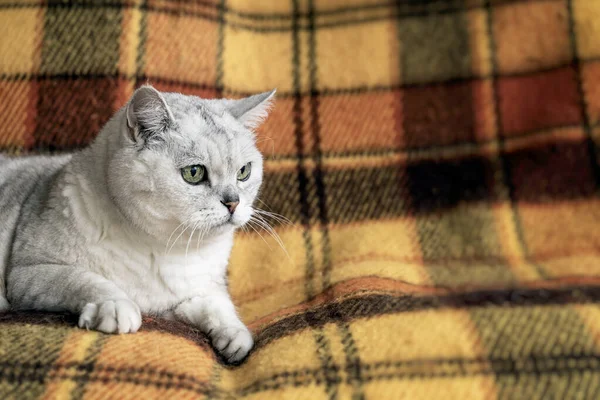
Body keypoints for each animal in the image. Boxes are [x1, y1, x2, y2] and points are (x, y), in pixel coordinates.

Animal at [0, 86, 276, 364]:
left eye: (243, 172)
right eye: (194, 173)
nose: (233, 203)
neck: (169, 248)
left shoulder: (187, 296)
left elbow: (217, 305)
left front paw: (236, 338)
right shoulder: (30, 271)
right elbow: (83, 279)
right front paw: (116, 306)